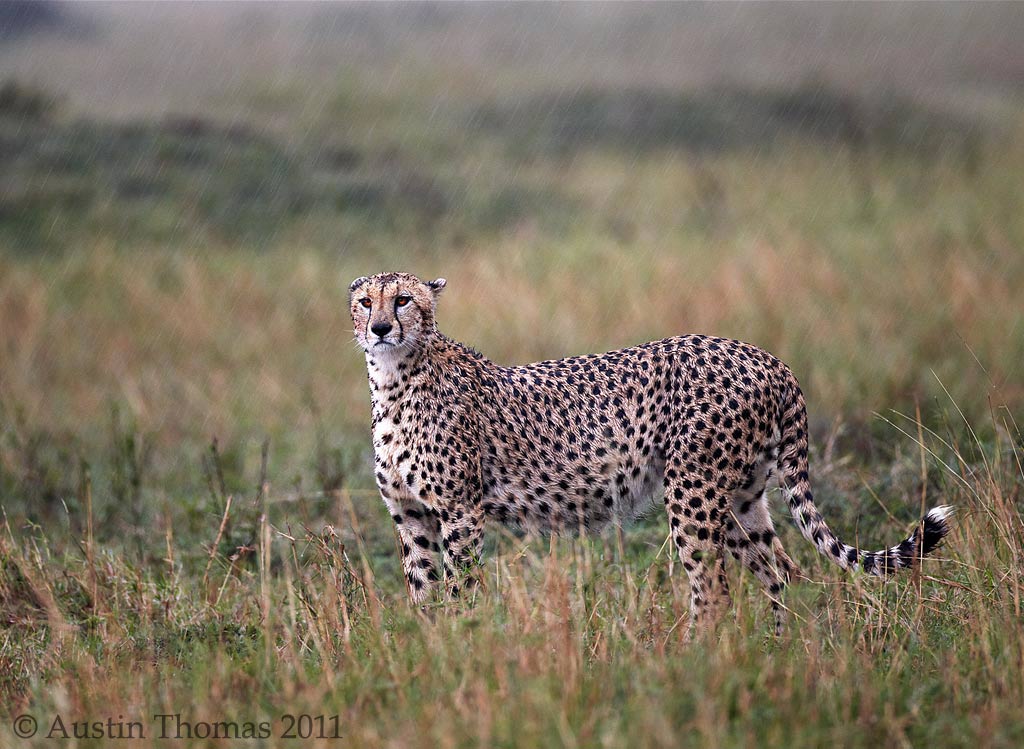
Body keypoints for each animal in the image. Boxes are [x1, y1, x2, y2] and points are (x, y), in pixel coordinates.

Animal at [349, 271, 952, 634]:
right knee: (779, 568)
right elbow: (424, 593)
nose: (379, 327)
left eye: (403, 299)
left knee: (712, 588)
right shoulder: (412, 516)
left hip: (693, 489)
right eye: (364, 301)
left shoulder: (461, 512)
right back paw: (782, 656)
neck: (394, 377)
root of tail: (765, 355)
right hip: (741, 495)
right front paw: (434, 651)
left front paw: (466, 647)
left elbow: (460, 590)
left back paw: (691, 664)